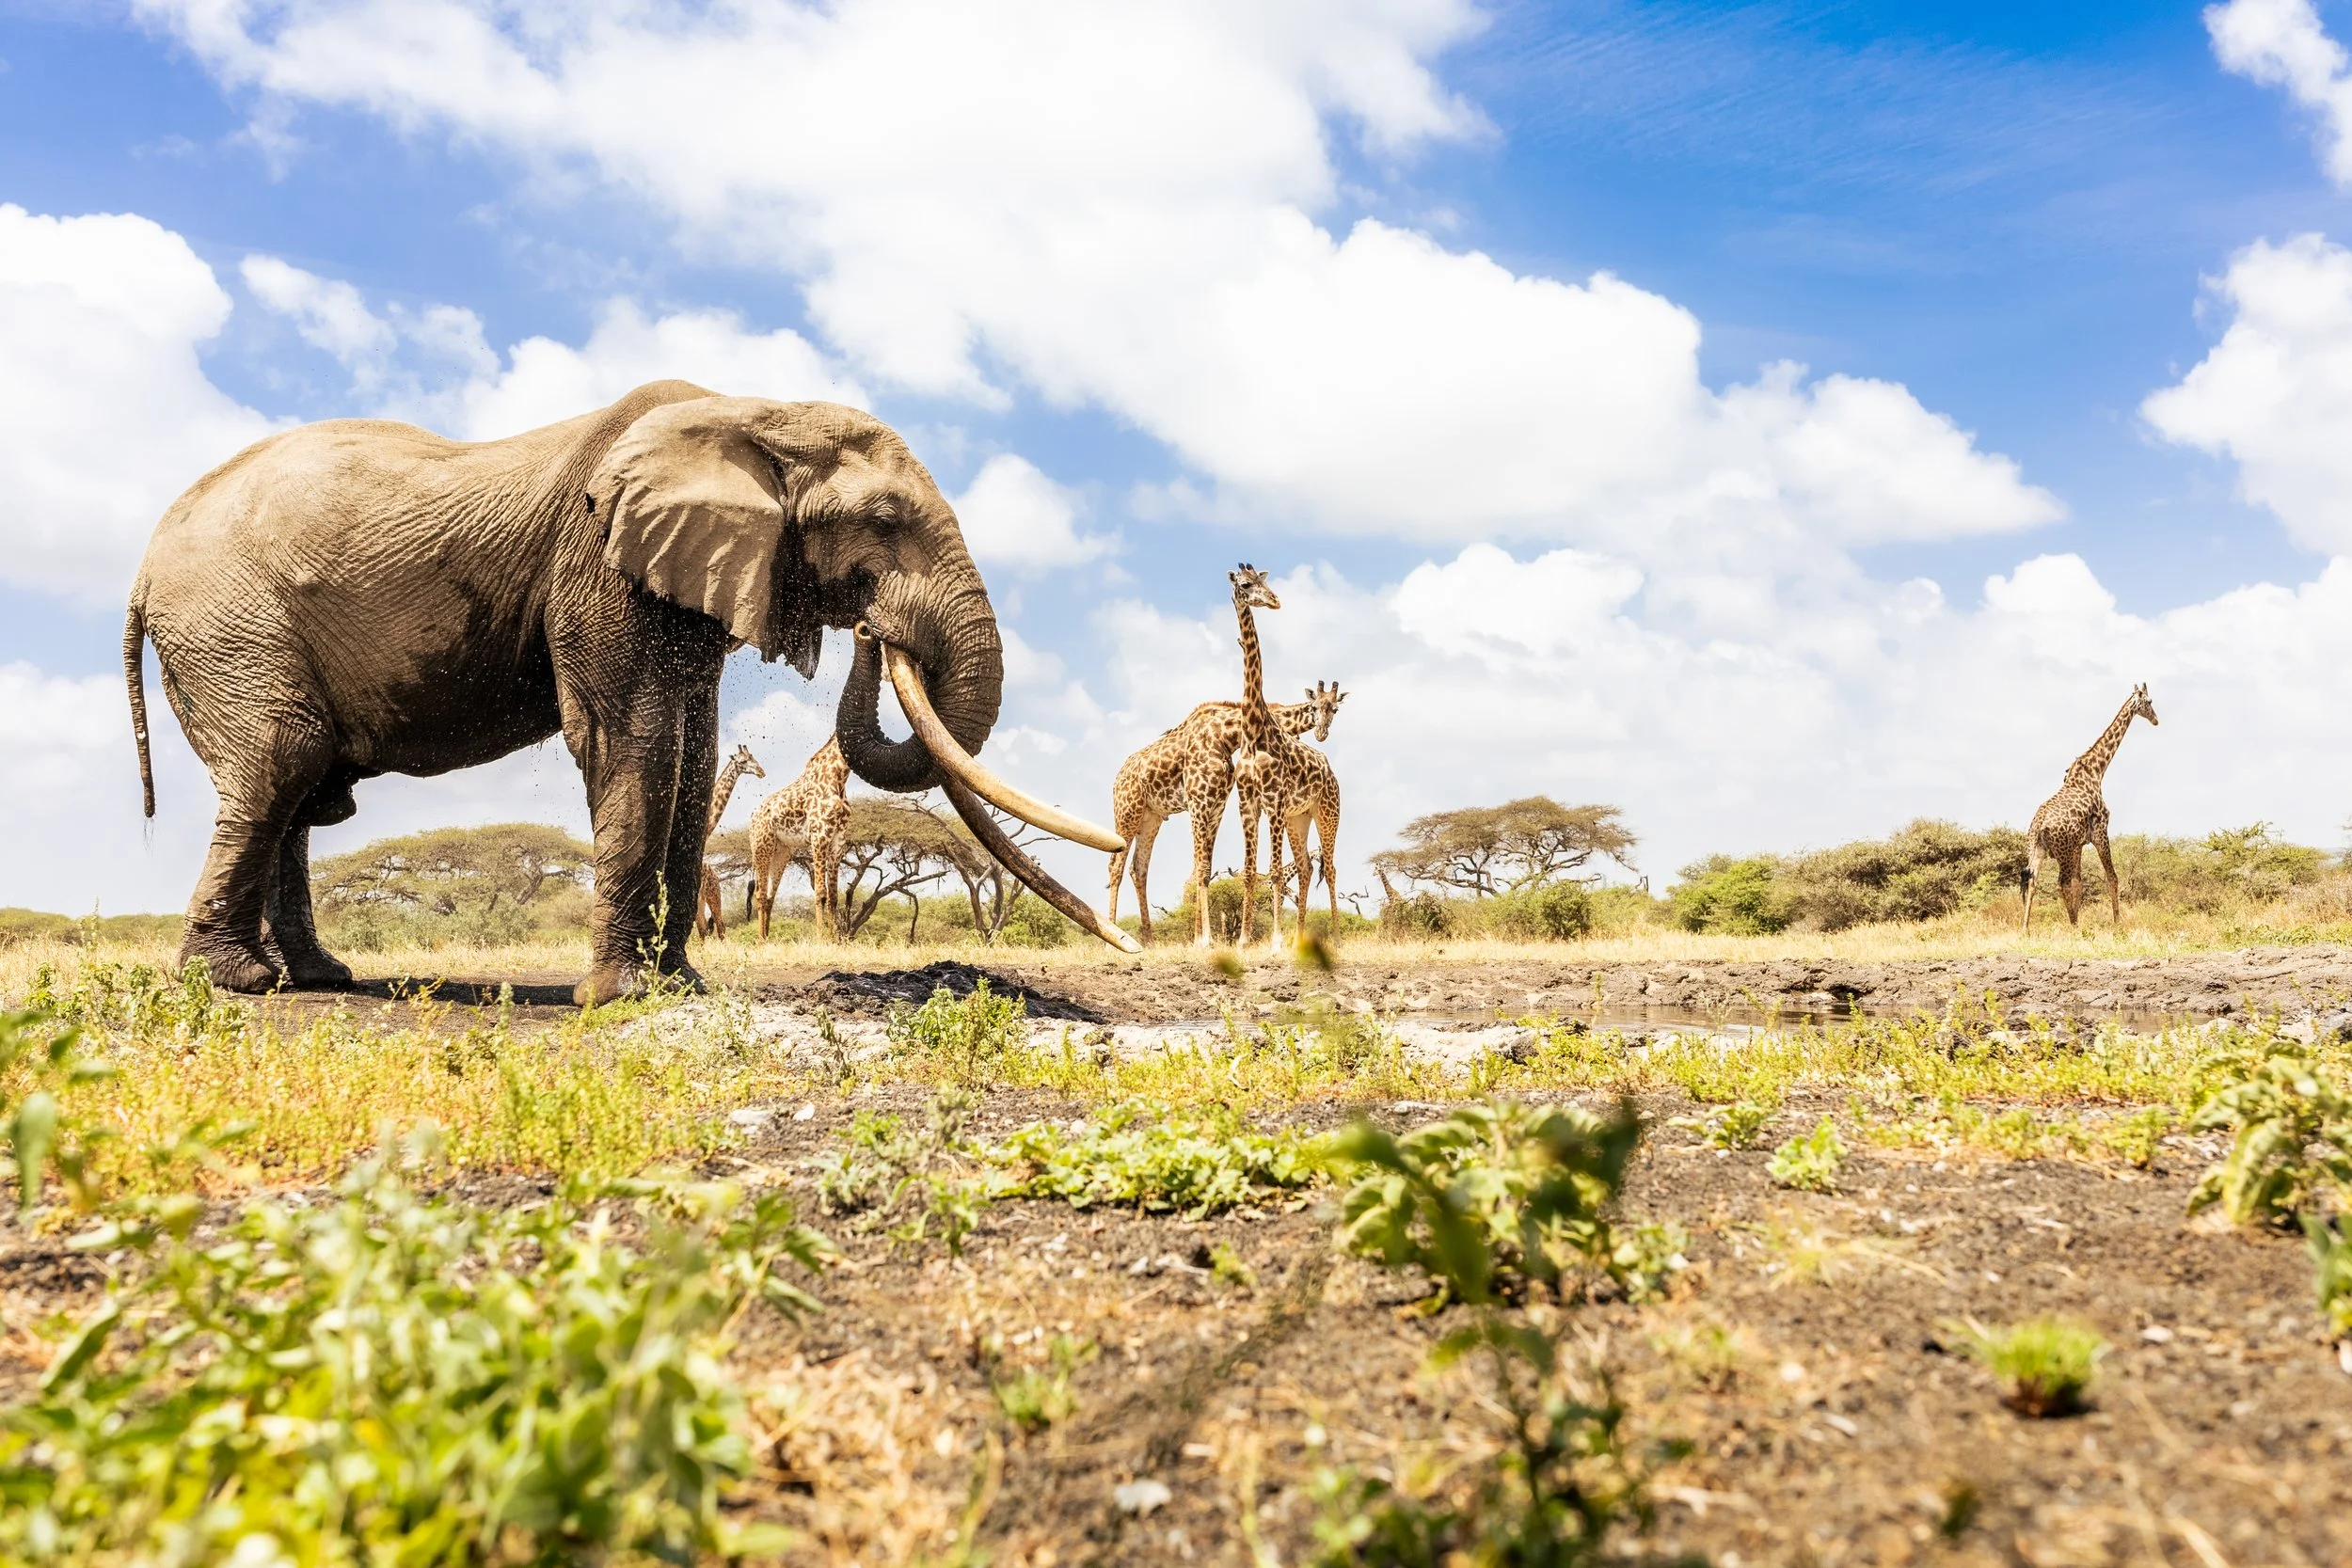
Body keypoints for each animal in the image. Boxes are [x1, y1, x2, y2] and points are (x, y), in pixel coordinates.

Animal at [693, 743, 766, 939]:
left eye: (753, 757)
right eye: (743, 761)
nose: (761, 771)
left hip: (710, 896)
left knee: (714, 928)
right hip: (709, 896)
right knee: (710, 929)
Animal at [748, 737, 853, 941]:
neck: (838, 777)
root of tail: (752, 818)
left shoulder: (838, 842)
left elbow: (834, 897)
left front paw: (834, 940)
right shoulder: (819, 836)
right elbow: (821, 893)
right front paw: (821, 939)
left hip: (781, 853)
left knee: (770, 897)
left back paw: (768, 939)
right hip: (762, 847)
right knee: (760, 893)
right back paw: (761, 941)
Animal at [1106, 681, 1341, 942]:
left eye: (1334, 709)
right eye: (1314, 706)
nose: (1321, 733)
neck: (1227, 735)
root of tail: (1117, 778)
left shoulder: (1218, 803)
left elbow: (1204, 867)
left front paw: (1198, 937)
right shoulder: (1199, 801)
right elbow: (1200, 867)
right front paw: (1203, 939)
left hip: (1151, 817)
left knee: (1138, 869)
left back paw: (1149, 940)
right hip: (1127, 811)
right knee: (1115, 866)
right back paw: (1112, 937)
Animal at [2023, 683, 2158, 932]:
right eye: (2150, 701)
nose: (2156, 720)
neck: (2096, 772)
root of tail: (2038, 826)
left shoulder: (2078, 844)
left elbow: (2079, 883)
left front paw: (2079, 920)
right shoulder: (2100, 831)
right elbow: (2112, 877)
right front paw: (2117, 924)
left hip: (2038, 850)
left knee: (2033, 880)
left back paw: (2025, 929)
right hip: (2062, 851)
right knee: (2060, 883)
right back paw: (2072, 926)